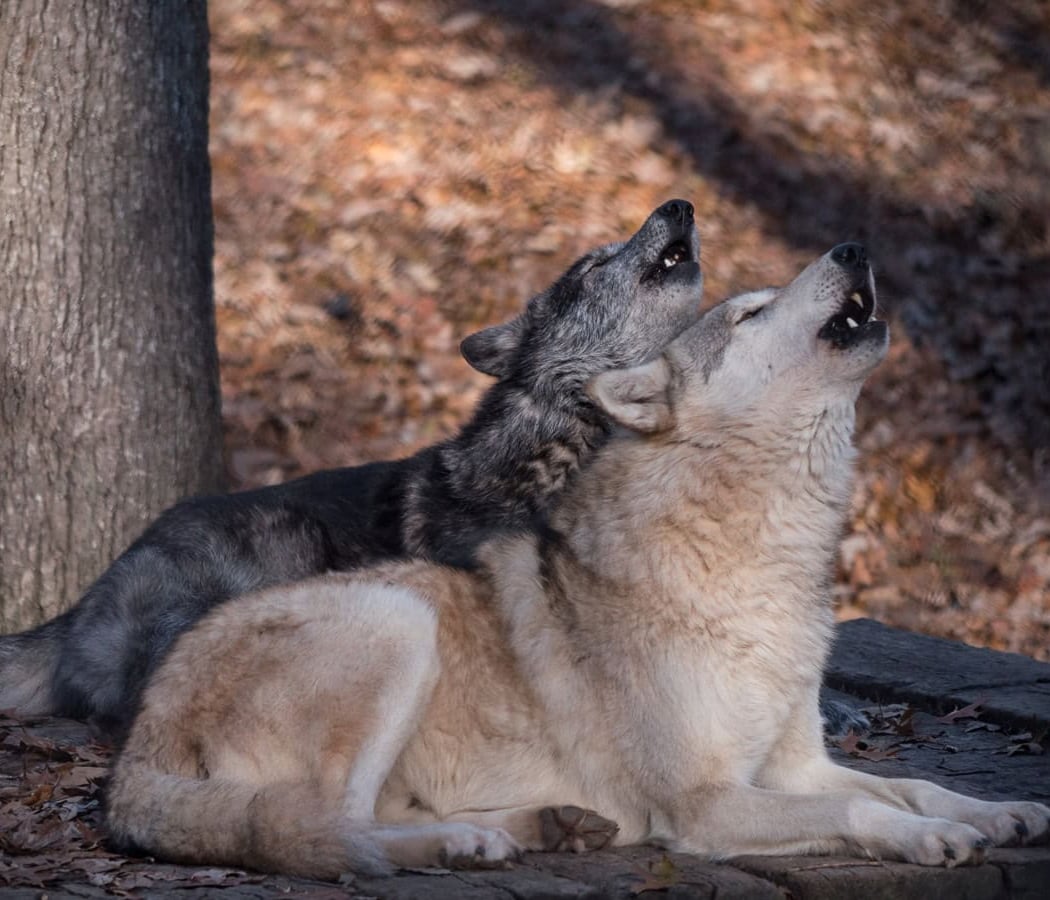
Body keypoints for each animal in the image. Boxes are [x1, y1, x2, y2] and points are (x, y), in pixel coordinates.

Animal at [105, 243, 1050, 878]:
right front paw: (933, 839)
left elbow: (916, 782)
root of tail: (137, 745)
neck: (758, 553)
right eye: (748, 313)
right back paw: (462, 842)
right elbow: (863, 803)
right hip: (395, 622)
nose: (854, 248)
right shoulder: (707, 802)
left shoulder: (795, 764)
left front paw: (1001, 811)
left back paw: (544, 828)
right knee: (331, 829)